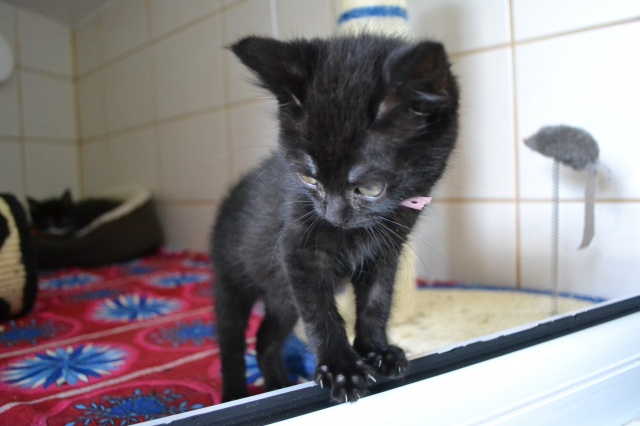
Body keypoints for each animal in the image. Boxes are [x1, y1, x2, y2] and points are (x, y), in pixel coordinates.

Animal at [212, 34, 459, 403]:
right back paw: (235, 394)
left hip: (282, 297)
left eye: (370, 188)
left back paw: (277, 384)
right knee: (231, 341)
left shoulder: (386, 252)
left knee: (266, 338)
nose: (334, 217)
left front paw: (377, 351)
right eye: (308, 179)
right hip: (233, 281)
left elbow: (376, 302)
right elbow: (320, 314)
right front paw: (341, 368)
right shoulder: (298, 252)